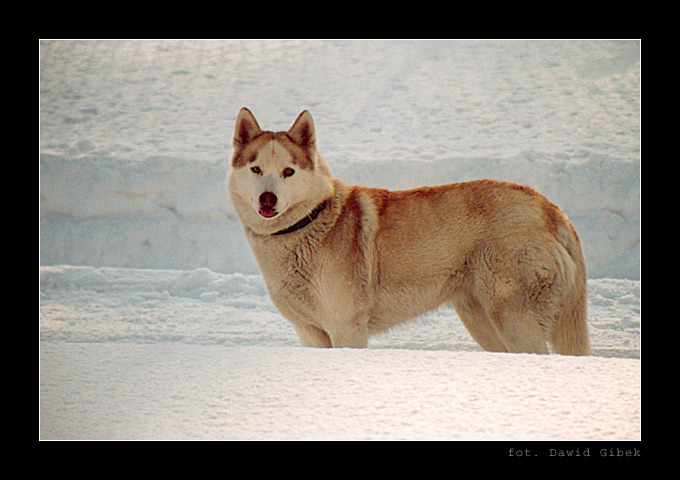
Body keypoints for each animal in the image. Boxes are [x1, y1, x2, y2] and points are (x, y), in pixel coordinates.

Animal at [228, 109, 588, 354]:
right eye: (255, 169)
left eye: (288, 171)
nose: (268, 198)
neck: (310, 223)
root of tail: (550, 209)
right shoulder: (310, 332)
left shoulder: (346, 327)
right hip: (482, 321)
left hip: (513, 320)